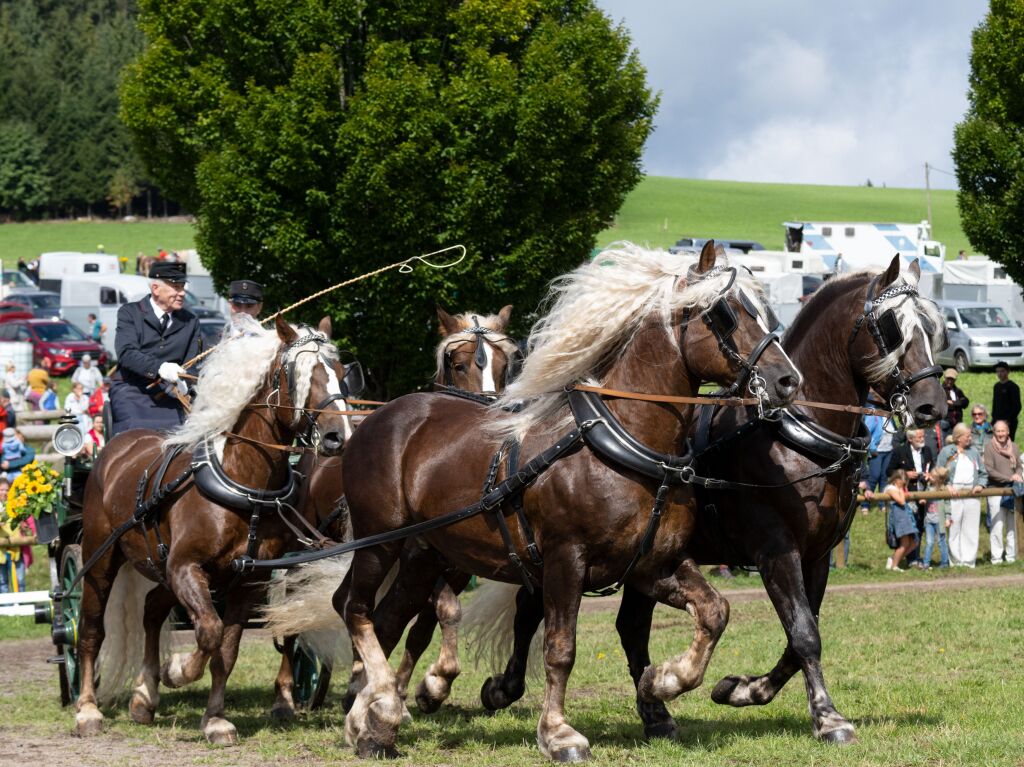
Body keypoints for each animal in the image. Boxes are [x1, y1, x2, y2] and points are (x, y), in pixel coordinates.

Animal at [72, 315, 352, 741]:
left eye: (340, 372)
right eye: (300, 375)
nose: (339, 437)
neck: (245, 485)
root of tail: (117, 447)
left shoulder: (246, 581)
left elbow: (227, 646)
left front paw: (215, 718)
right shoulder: (186, 566)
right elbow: (209, 630)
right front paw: (178, 671)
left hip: (163, 570)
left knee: (151, 611)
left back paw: (144, 697)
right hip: (100, 560)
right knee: (91, 629)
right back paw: (87, 709)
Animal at [268, 303, 520, 716]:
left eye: (504, 366)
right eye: (458, 364)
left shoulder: (455, 568)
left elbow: (421, 628)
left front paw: (412, 688)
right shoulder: (420, 557)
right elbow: (443, 611)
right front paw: (427, 683)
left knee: (350, 602)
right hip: (309, 546)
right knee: (302, 604)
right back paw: (288, 694)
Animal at [331, 240, 802, 761]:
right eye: (724, 314)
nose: (788, 381)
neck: (623, 443)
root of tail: (379, 416)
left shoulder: (651, 564)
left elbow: (715, 612)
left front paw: (662, 681)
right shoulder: (565, 559)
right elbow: (560, 647)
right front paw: (559, 733)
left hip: (424, 554)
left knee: (387, 619)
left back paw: (372, 722)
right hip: (379, 540)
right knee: (355, 610)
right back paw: (381, 707)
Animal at [468, 256, 946, 741]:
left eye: (932, 328)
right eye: (892, 327)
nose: (933, 406)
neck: (790, 435)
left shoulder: (817, 555)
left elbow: (801, 635)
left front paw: (742, 689)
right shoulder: (776, 550)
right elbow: (804, 633)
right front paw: (827, 717)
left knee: (629, 626)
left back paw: (654, 706)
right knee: (533, 610)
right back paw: (505, 689)